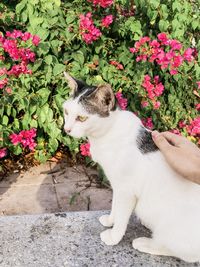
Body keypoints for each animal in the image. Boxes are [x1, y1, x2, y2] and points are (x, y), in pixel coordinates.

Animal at [62, 72, 200, 264]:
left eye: (82, 118)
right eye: (66, 112)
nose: (66, 129)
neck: (108, 133)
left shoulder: (127, 190)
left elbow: (122, 217)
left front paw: (113, 236)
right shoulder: (117, 187)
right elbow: (115, 207)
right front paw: (110, 220)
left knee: (184, 254)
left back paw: (145, 243)